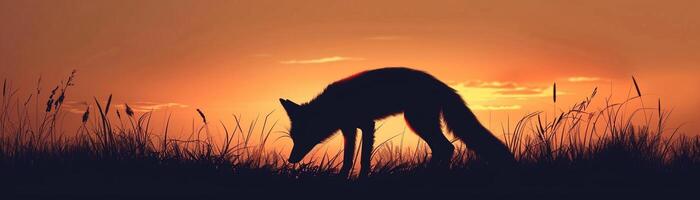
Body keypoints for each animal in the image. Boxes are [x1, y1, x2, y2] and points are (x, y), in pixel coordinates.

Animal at [278, 67, 516, 177]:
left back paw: (431, 175)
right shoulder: (349, 129)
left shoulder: (367, 125)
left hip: (417, 122)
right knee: (444, 148)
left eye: (302, 136)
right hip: (420, 124)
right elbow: (347, 159)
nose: (291, 160)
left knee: (447, 148)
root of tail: (440, 84)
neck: (335, 105)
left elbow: (364, 159)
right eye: (293, 138)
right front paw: (343, 179)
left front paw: (362, 179)